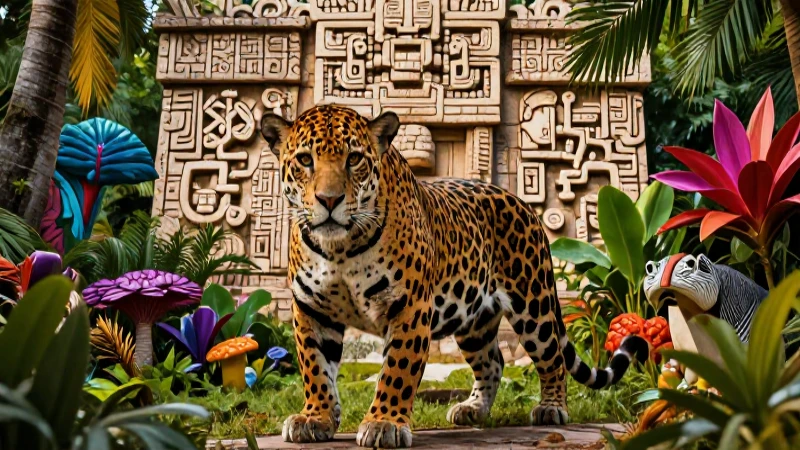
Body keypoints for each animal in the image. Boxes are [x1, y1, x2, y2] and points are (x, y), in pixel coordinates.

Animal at [260, 105, 649, 448]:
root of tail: (523, 203)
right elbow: (315, 368)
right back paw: (472, 409)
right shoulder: (311, 309)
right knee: (493, 361)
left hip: (533, 304)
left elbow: (396, 370)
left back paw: (551, 408)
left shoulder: (409, 306)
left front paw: (384, 423)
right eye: (305, 160)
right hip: (474, 321)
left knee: (551, 357)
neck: (340, 247)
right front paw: (316, 418)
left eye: (354, 159)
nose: (329, 200)